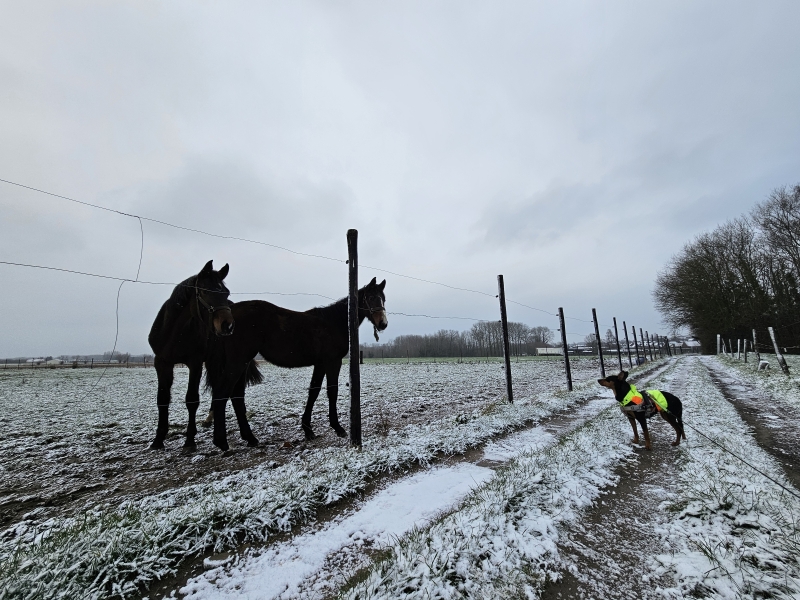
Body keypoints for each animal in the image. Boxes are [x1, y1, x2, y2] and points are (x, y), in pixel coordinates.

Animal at [147, 260, 262, 451]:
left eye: (225, 292)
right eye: (205, 291)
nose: (228, 326)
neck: (175, 333)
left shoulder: (195, 363)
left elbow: (192, 400)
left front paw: (189, 441)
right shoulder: (162, 363)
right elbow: (162, 399)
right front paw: (158, 440)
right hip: (214, 362)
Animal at [202, 277, 388, 451]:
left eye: (383, 298)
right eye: (371, 297)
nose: (383, 323)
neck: (335, 321)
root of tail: (229, 315)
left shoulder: (320, 364)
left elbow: (314, 391)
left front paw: (308, 429)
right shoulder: (332, 361)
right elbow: (332, 391)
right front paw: (337, 427)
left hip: (243, 363)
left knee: (237, 396)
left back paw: (250, 438)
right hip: (238, 362)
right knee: (222, 393)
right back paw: (221, 441)